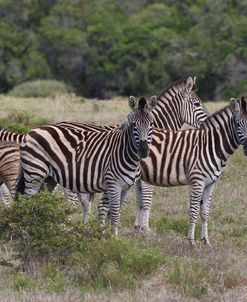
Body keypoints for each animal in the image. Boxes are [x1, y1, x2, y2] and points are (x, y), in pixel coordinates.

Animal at [17, 95, 157, 235]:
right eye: (134, 125)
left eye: (151, 124)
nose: (143, 150)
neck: (125, 152)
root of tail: (32, 131)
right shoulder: (113, 185)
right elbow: (115, 213)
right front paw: (114, 238)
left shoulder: (126, 188)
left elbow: (117, 213)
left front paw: (115, 236)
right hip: (35, 172)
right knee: (28, 200)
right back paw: (26, 232)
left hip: (48, 179)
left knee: (40, 201)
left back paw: (41, 229)